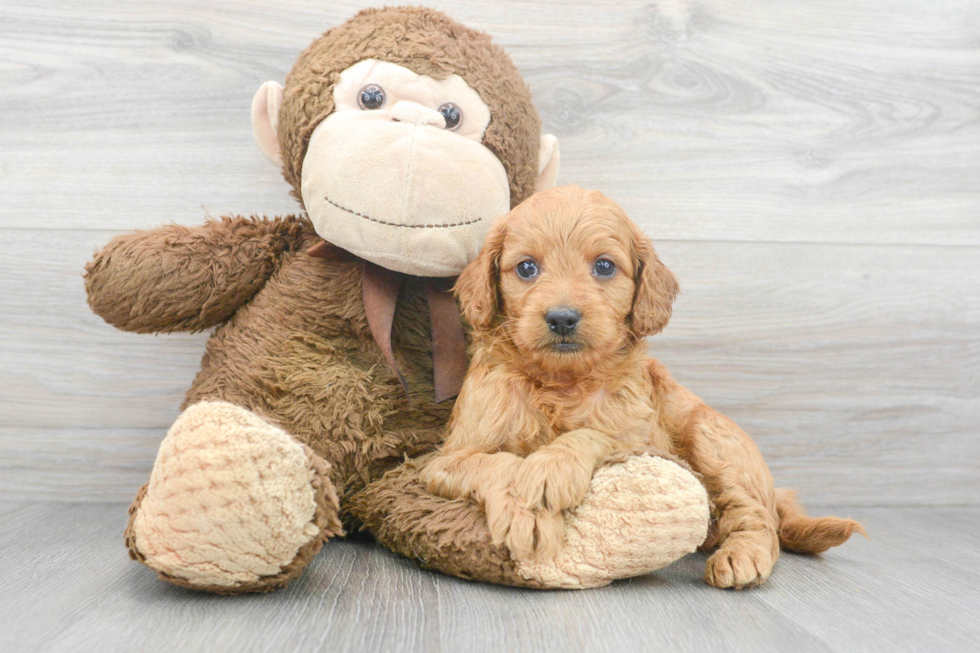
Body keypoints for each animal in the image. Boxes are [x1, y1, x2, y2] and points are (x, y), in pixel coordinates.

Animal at [418, 186, 860, 588]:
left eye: (604, 266)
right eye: (526, 268)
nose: (562, 318)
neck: (562, 381)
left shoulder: (641, 437)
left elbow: (592, 433)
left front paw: (547, 470)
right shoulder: (446, 459)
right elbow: (496, 464)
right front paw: (525, 512)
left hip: (713, 438)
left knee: (756, 516)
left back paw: (741, 555)